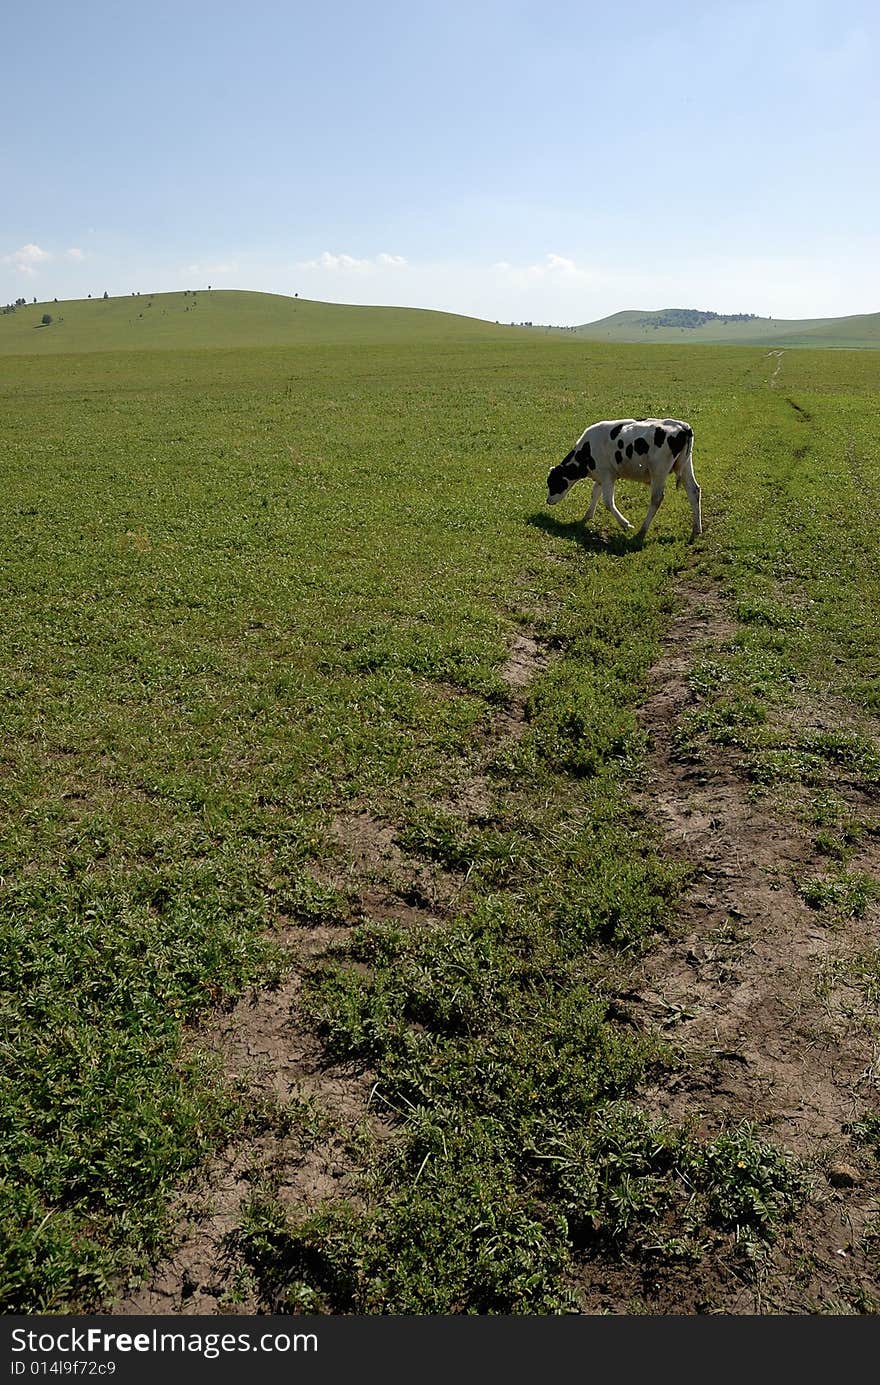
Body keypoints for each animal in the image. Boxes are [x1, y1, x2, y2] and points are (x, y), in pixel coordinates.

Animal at [548, 415, 706, 540]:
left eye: (553, 483)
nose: (548, 501)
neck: (587, 450)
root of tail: (683, 427)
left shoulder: (607, 476)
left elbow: (608, 502)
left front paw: (625, 524)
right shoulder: (601, 476)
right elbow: (595, 493)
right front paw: (587, 515)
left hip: (659, 471)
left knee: (656, 498)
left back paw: (642, 531)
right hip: (685, 466)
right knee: (694, 491)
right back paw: (697, 529)